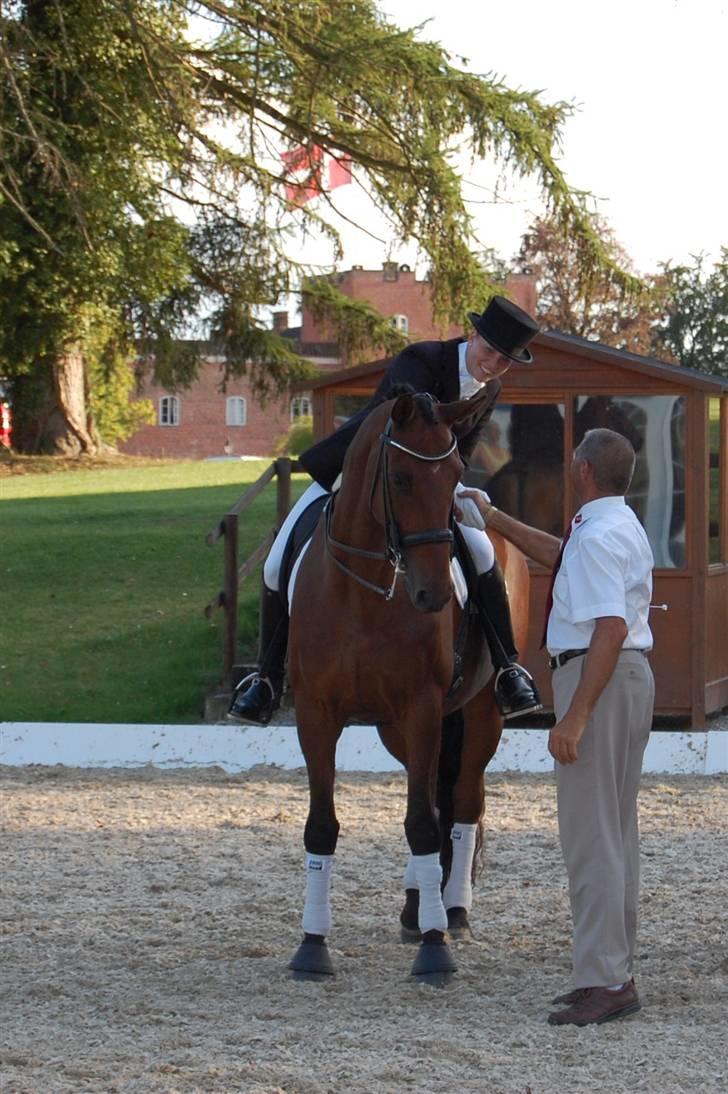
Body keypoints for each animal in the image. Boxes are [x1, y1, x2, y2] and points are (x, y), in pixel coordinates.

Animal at [284, 387, 527, 984]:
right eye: (399, 479)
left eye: (456, 475)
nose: (434, 594)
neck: (365, 591)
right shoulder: (317, 714)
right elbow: (321, 825)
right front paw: (312, 946)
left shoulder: (422, 708)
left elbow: (423, 823)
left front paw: (436, 949)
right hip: (398, 729)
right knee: (439, 798)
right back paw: (419, 906)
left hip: (479, 713)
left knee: (461, 804)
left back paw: (452, 912)